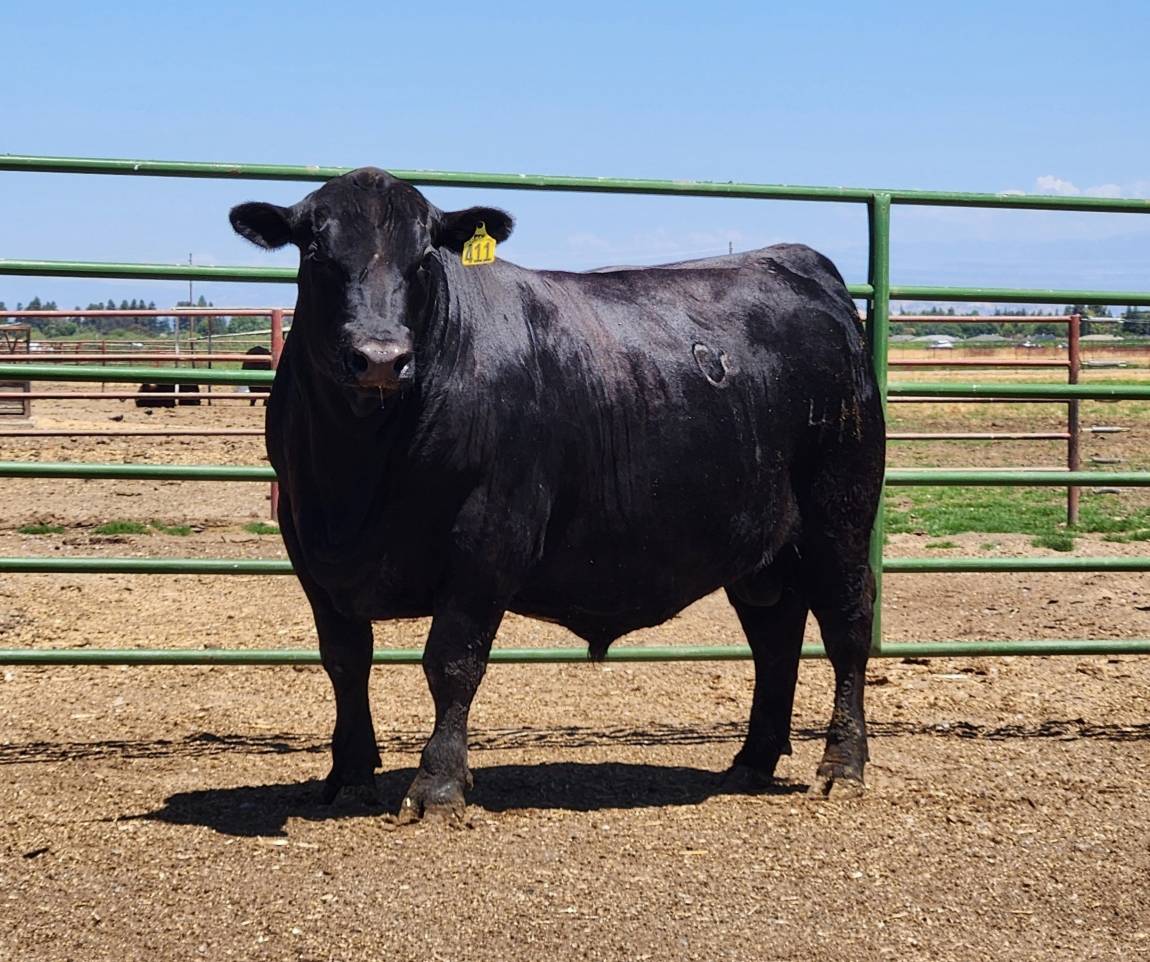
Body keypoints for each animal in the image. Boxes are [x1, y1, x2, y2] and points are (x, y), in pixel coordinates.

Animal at [229, 168, 885, 823]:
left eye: (424, 259)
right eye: (317, 252)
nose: (381, 358)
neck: (357, 474)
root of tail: (797, 262)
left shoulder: (489, 539)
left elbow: (452, 663)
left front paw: (437, 787)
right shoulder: (309, 549)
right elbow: (345, 661)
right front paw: (348, 774)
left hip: (840, 516)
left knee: (846, 629)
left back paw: (841, 766)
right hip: (761, 550)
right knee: (774, 638)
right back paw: (751, 761)